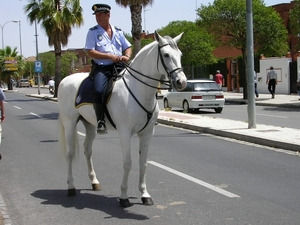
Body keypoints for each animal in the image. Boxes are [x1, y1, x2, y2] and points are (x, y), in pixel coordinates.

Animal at [57, 30, 186, 207]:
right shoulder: (124, 132)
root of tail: (64, 80)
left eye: (180, 54)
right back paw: (71, 187)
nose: (182, 82)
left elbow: (143, 163)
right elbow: (128, 163)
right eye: (166, 54)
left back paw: (94, 181)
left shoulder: (147, 133)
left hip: (90, 125)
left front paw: (145, 194)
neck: (138, 89)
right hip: (69, 123)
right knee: (70, 153)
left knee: (87, 150)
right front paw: (124, 196)